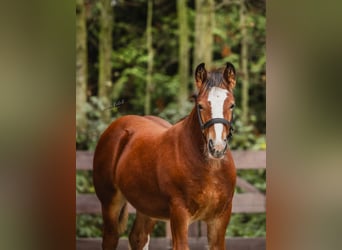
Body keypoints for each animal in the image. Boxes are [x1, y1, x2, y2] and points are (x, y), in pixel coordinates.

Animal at [93, 61, 238, 249]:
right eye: (200, 105)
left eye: (232, 105)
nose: (217, 147)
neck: (210, 169)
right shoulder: (179, 214)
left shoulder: (220, 218)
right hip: (110, 203)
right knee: (111, 238)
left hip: (146, 207)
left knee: (138, 237)